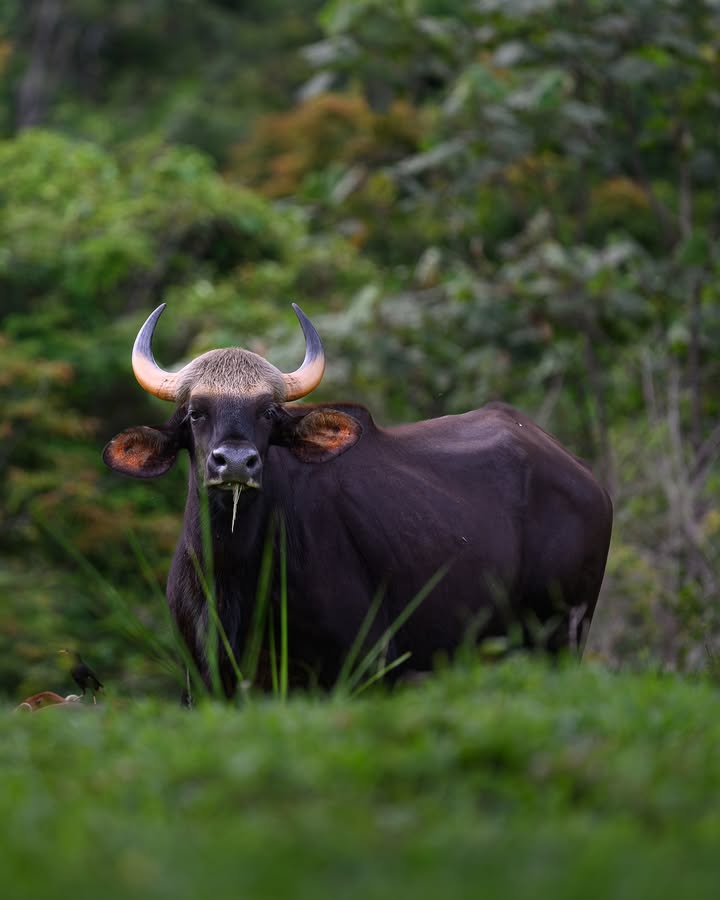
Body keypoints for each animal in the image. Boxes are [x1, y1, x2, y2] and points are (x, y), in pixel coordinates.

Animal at [105, 306, 612, 692]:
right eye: (195, 413)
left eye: (268, 412)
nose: (234, 463)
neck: (234, 577)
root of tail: (588, 479)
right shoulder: (206, 679)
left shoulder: (363, 666)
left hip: (562, 634)